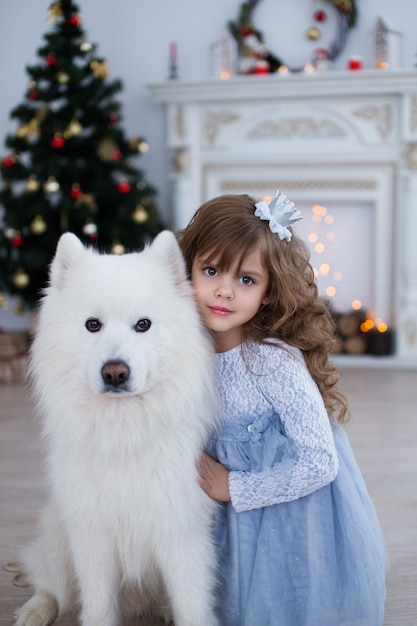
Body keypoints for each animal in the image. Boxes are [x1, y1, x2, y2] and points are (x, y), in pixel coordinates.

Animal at [13, 232, 218, 624]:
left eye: (143, 324)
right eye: (93, 324)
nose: (115, 372)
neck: (123, 432)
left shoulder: (180, 533)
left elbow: (190, 605)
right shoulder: (92, 537)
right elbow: (97, 606)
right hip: (58, 537)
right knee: (50, 585)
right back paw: (35, 611)